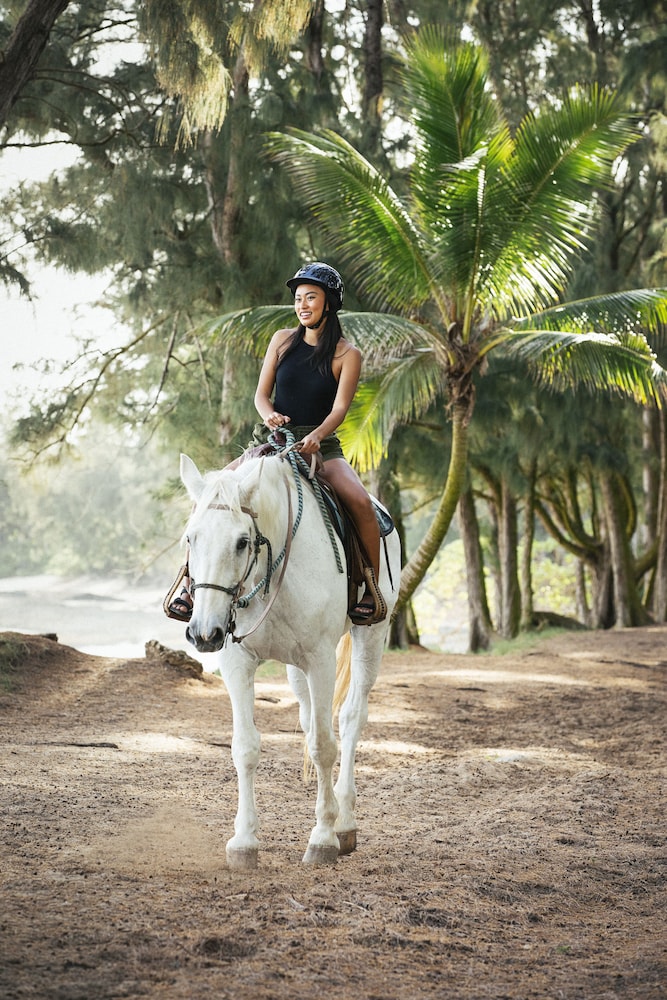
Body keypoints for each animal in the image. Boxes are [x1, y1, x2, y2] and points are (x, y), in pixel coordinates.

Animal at [177, 448, 404, 868]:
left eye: (242, 542)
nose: (204, 632)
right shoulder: (237, 661)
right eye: (190, 538)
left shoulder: (320, 660)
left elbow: (324, 746)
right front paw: (244, 841)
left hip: (371, 635)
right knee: (310, 719)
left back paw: (345, 822)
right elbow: (245, 747)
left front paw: (323, 838)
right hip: (295, 668)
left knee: (350, 719)